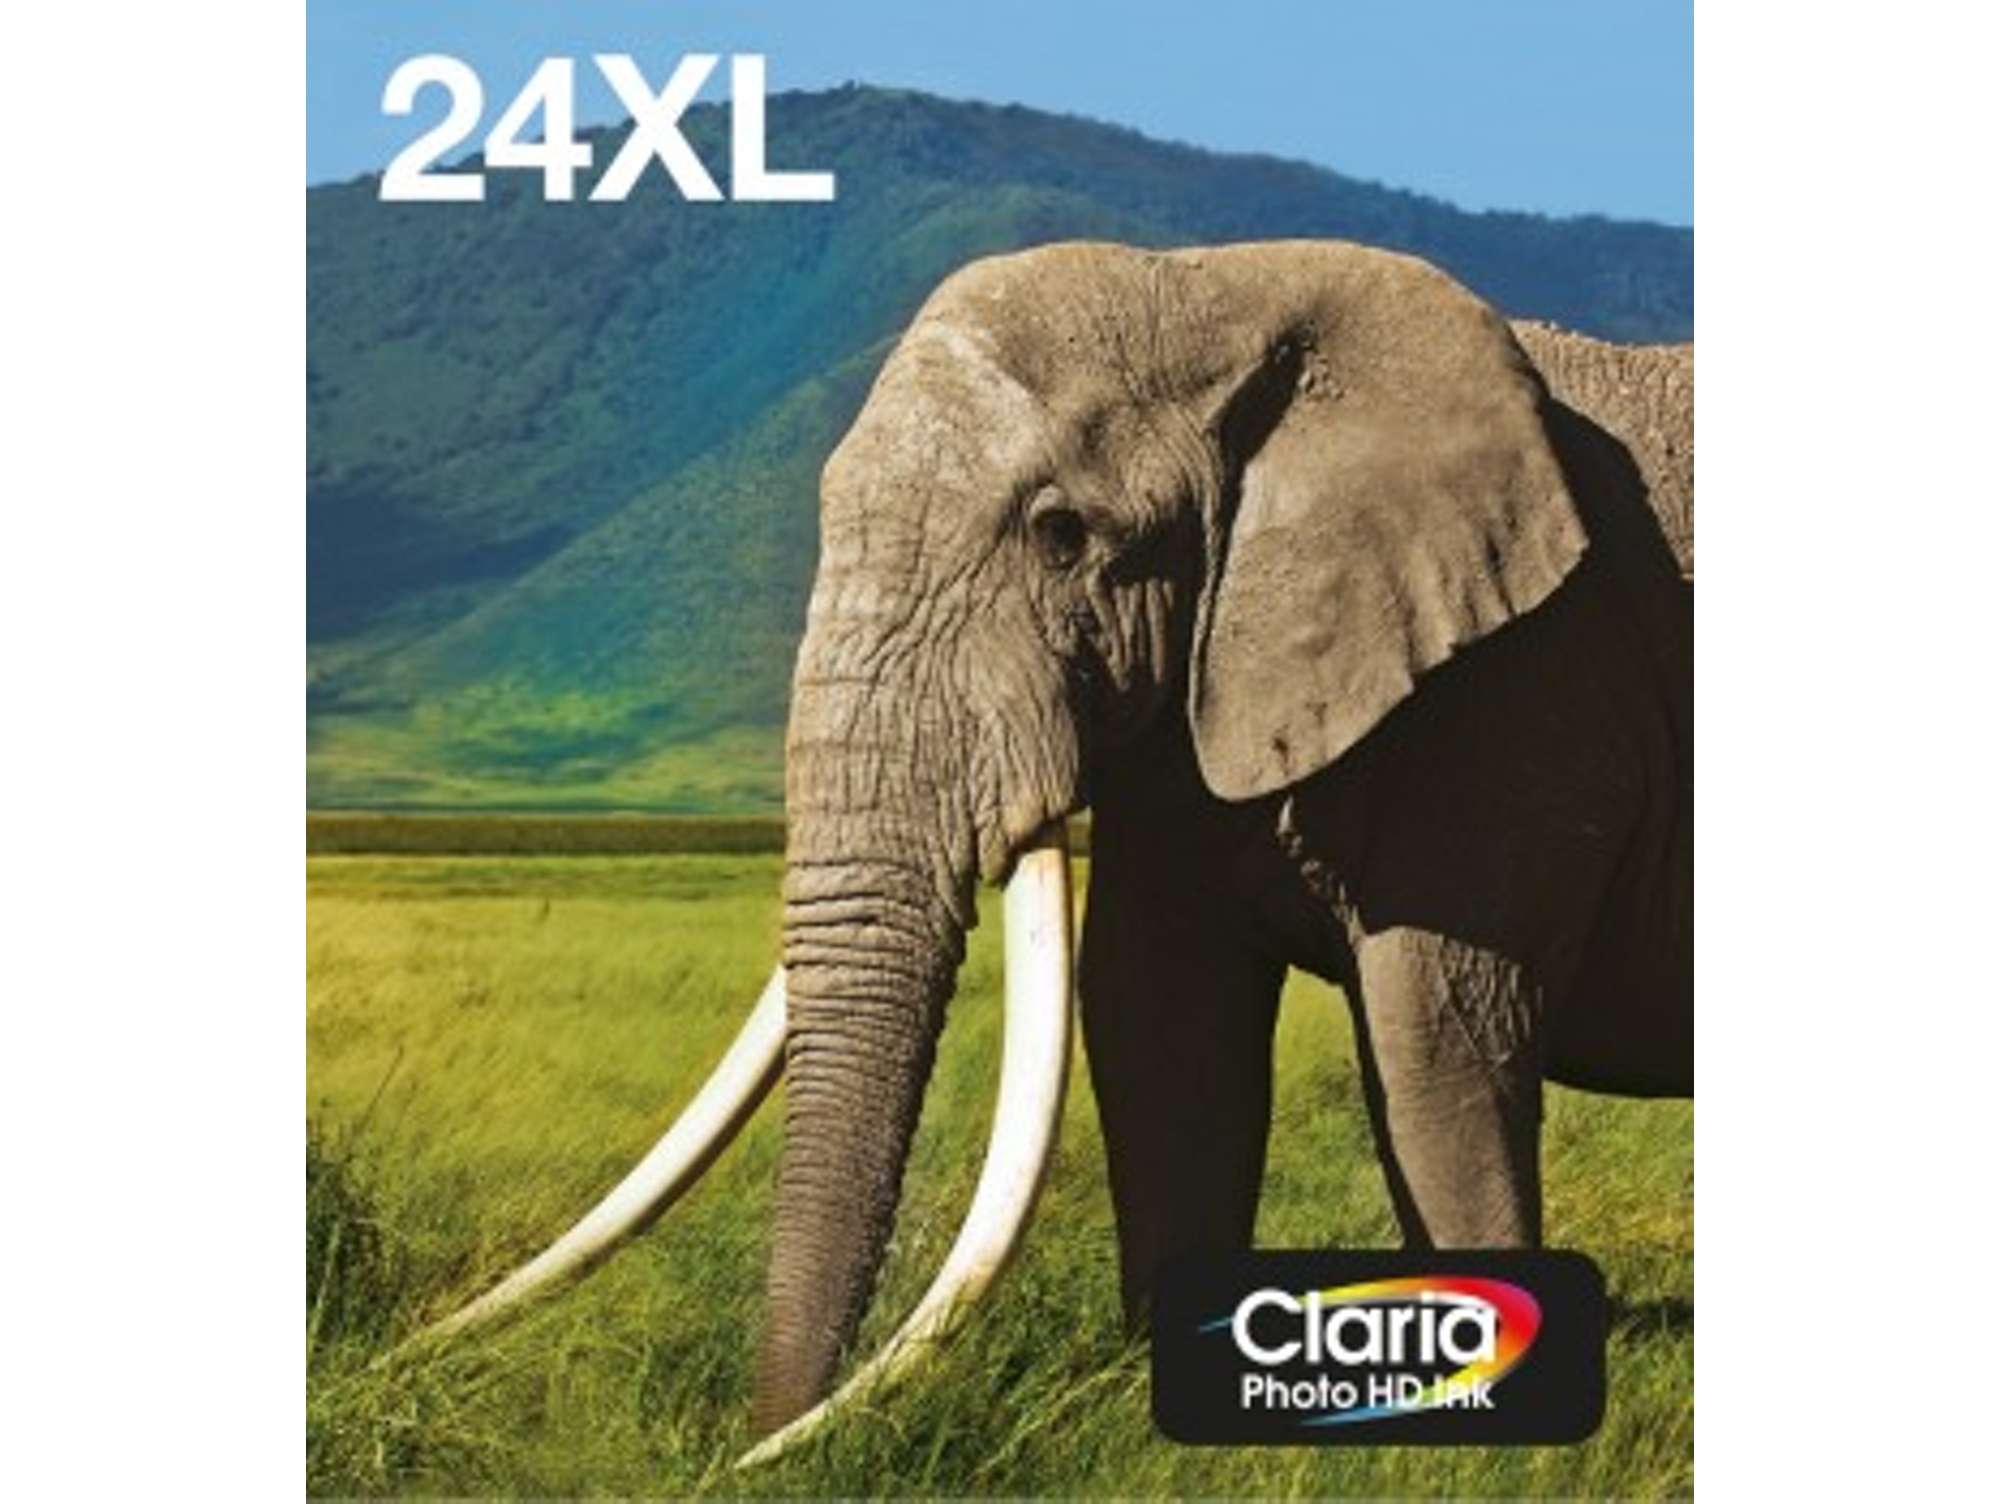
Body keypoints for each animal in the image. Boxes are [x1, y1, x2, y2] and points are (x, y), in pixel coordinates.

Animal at [419, 239, 1692, 1458]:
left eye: (1062, 534)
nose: (751, 1439)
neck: (1217, 282)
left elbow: (1439, 1032)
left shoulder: (1524, 682)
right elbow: (1156, 1027)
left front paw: (1486, 1433)